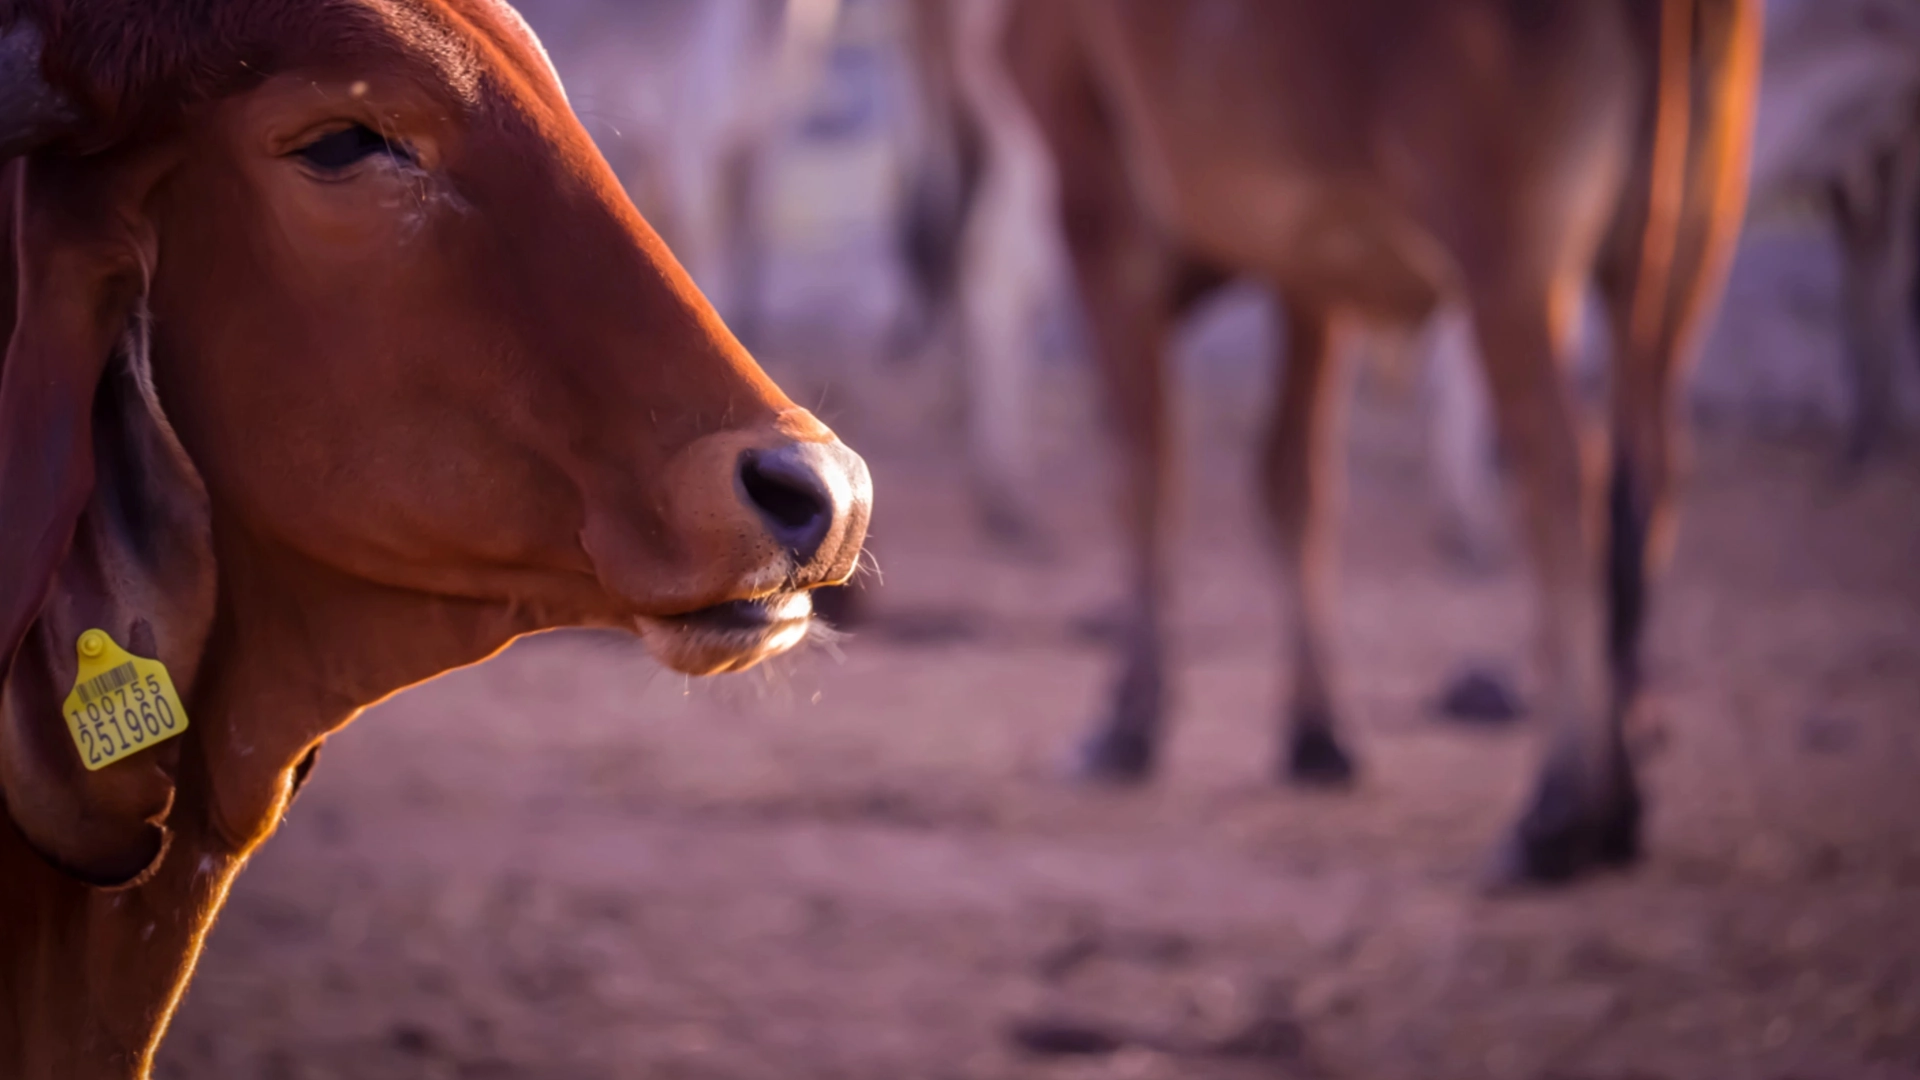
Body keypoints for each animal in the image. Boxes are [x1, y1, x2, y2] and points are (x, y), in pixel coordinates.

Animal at [994, 0, 1761, 885]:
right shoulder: (1308, 264)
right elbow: (1291, 479)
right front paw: (1315, 734)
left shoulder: (1094, 191)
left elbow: (1144, 470)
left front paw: (1129, 719)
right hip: (1686, 244)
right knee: (1654, 466)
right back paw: (1623, 790)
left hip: (1510, 260)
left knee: (1566, 473)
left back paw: (1562, 810)